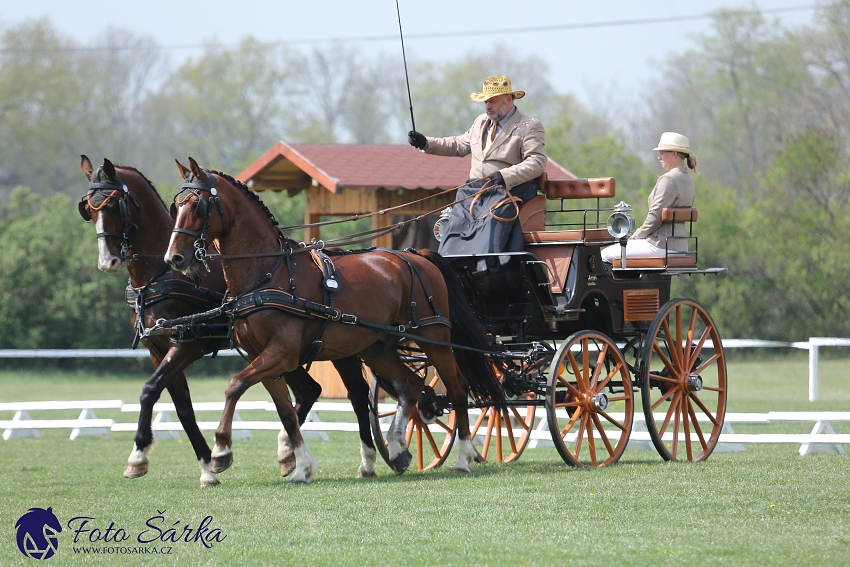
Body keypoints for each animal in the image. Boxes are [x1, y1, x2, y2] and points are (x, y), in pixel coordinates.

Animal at [78, 158, 376, 486]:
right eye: (89, 209)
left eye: (113, 206)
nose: (108, 261)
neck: (158, 275)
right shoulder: (157, 349)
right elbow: (181, 407)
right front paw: (207, 465)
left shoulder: (186, 345)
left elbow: (150, 390)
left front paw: (140, 456)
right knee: (309, 390)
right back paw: (288, 453)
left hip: (340, 348)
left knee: (356, 395)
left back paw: (360, 459)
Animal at [162, 158, 500, 482]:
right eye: (176, 206)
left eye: (197, 205)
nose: (174, 258)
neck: (268, 273)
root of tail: (417, 255)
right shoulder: (262, 356)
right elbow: (285, 410)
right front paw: (300, 466)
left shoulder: (282, 354)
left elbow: (234, 386)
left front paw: (221, 451)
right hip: (377, 347)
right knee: (410, 386)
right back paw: (398, 447)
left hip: (434, 338)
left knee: (457, 389)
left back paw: (463, 458)